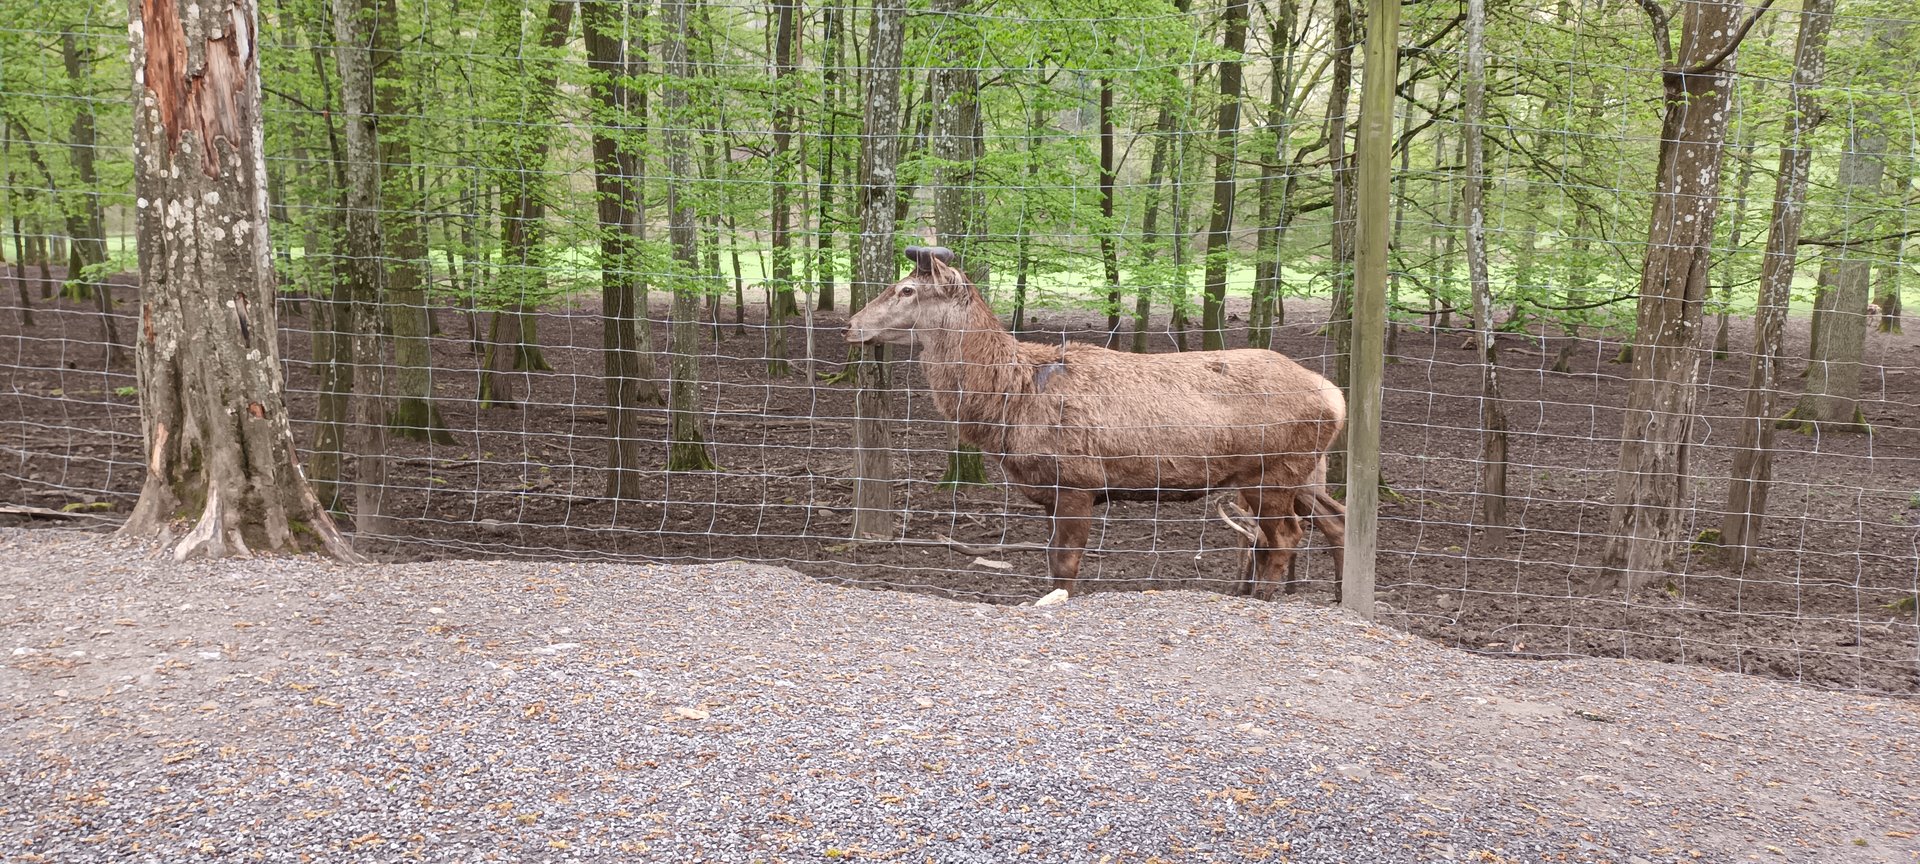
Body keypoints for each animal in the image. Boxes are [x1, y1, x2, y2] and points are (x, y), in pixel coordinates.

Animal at [845, 246, 1348, 602]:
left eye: (906, 290)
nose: (851, 325)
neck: (1009, 402)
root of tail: (1336, 396)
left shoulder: (1077, 481)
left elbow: (1066, 565)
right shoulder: (1051, 493)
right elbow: (1052, 561)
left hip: (1273, 471)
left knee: (1285, 537)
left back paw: (1266, 598)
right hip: (1298, 473)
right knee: (1334, 521)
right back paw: (1338, 595)